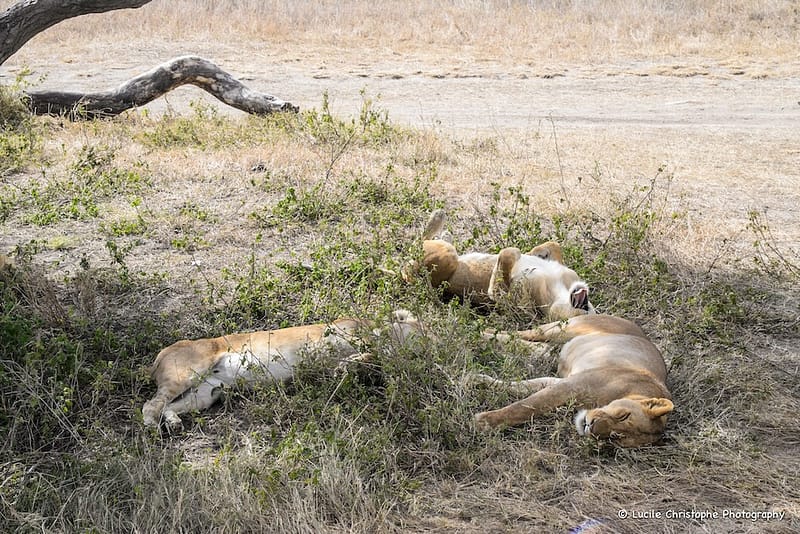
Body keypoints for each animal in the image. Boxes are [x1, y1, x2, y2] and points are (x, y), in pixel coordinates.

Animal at [142, 310, 422, 429]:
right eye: (423, 330)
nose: (426, 351)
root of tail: (160, 355)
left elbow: (372, 356)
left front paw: (347, 368)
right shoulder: (330, 337)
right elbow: (370, 348)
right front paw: (349, 364)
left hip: (206, 393)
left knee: (169, 406)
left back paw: (173, 422)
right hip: (187, 373)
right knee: (150, 405)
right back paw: (151, 427)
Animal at [409, 209, 593, 320]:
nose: (585, 305)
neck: (560, 289)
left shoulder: (516, 304)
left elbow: (506, 256)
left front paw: (518, 253)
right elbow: (555, 245)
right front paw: (537, 253)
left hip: (445, 257)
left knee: (413, 250)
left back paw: (437, 220)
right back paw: (441, 223)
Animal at [473, 314, 673, 447]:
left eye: (614, 437)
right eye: (624, 415)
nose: (590, 426)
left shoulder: (560, 382)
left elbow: (523, 388)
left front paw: (479, 381)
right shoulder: (572, 385)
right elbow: (525, 407)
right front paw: (483, 422)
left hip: (555, 344)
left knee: (530, 345)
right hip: (564, 328)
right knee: (519, 333)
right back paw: (476, 328)